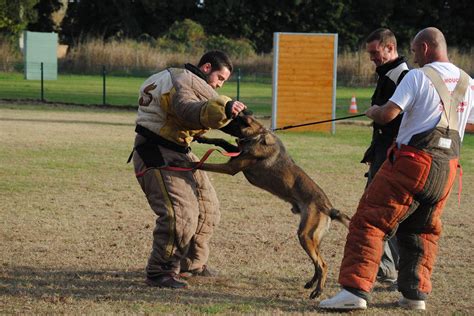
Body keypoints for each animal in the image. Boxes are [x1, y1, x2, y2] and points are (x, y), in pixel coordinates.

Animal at [172, 111, 350, 298]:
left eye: (232, 119)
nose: (212, 124)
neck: (256, 136)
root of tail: (329, 208)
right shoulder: (236, 153)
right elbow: (222, 141)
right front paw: (203, 138)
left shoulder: (231, 167)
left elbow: (202, 163)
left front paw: (182, 163)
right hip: (314, 238)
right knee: (317, 263)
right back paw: (310, 283)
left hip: (305, 235)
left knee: (323, 264)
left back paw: (318, 291)